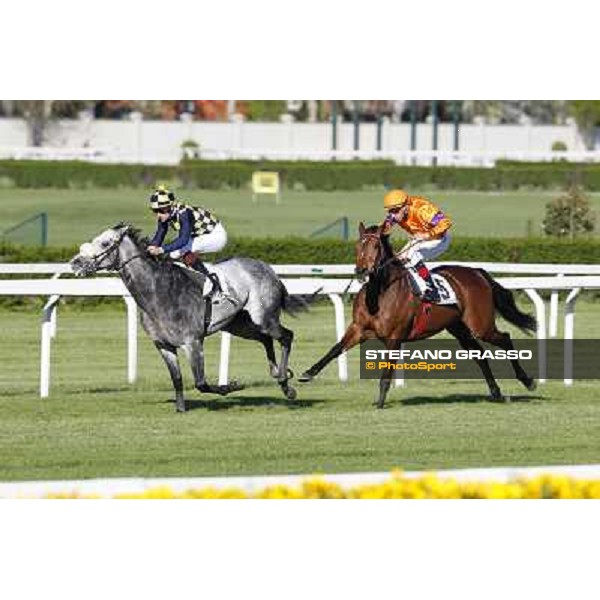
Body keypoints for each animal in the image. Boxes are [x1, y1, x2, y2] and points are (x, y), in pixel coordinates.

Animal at [300, 223, 540, 410]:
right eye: (358, 245)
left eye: (376, 246)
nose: (361, 271)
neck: (380, 292)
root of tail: (478, 272)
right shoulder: (359, 328)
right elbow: (335, 349)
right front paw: (308, 373)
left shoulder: (394, 337)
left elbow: (386, 372)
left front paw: (380, 402)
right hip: (459, 328)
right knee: (479, 354)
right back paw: (496, 392)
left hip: (480, 324)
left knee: (505, 338)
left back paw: (528, 381)